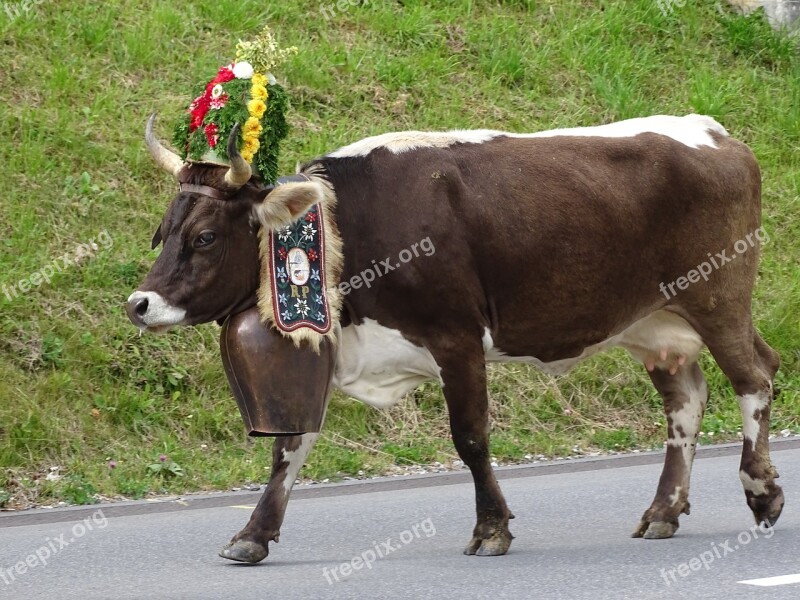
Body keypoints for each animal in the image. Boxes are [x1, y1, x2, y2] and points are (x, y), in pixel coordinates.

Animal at [128, 112, 784, 564]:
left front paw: (491, 529)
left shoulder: (457, 338)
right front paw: (252, 535)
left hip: (718, 297)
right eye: (164, 231)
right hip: (655, 327)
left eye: (206, 236)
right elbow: (289, 446)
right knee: (686, 401)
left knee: (755, 374)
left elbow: (470, 437)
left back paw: (762, 493)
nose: (139, 304)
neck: (348, 227)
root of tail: (715, 132)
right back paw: (663, 511)